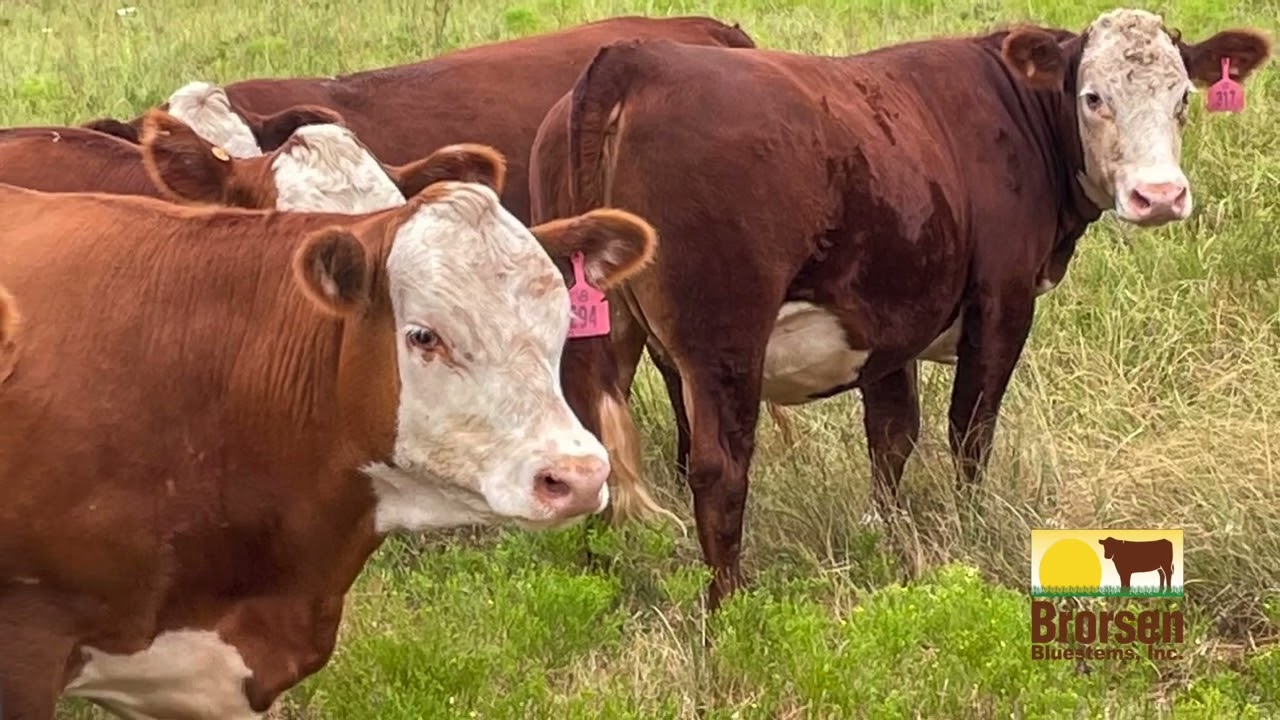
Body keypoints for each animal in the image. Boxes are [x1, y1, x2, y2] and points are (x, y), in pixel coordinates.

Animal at [528, 8, 1271, 608]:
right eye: (1093, 96)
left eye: (1182, 96)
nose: (1160, 196)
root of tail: (635, 60)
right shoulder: (1002, 301)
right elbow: (970, 433)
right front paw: (970, 530)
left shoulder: (891, 319)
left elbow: (892, 437)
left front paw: (889, 535)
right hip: (724, 344)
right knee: (719, 469)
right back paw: (731, 609)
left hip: (599, 334)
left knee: (594, 443)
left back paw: (595, 573)